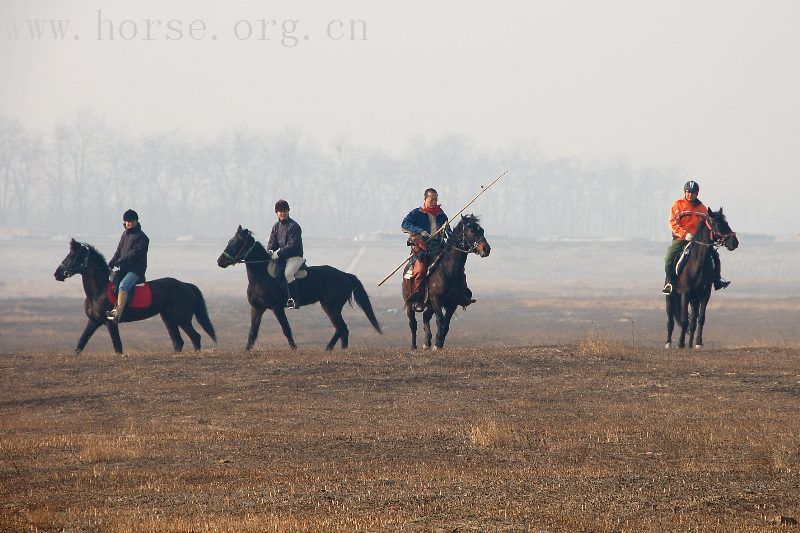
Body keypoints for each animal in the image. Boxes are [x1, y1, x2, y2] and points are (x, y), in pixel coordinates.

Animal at [53, 238, 217, 354]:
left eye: (73, 255)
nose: (57, 274)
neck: (98, 291)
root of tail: (186, 285)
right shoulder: (93, 321)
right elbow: (81, 343)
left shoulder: (110, 322)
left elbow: (117, 347)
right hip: (168, 319)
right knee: (178, 342)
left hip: (182, 318)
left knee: (195, 337)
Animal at [217, 227, 382, 352]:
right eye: (229, 241)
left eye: (236, 242)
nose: (220, 261)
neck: (262, 276)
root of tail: (345, 275)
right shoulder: (257, 308)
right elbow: (252, 331)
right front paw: (247, 350)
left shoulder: (277, 308)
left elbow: (286, 329)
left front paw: (294, 349)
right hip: (328, 306)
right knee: (342, 329)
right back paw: (338, 349)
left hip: (331, 307)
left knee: (342, 328)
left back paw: (332, 348)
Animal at [404, 214, 490, 352]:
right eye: (471, 230)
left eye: (481, 230)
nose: (486, 249)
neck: (448, 270)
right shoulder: (436, 300)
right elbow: (440, 320)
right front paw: (436, 345)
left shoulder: (452, 302)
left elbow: (446, 324)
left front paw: (439, 344)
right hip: (409, 303)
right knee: (413, 324)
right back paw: (414, 347)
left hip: (429, 305)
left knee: (426, 316)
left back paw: (427, 342)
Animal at [664, 208, 740, 350]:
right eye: (717, 224)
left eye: (726, 223)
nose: (734, 242)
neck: (698, 263)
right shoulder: (685, 294)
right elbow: (684, 319)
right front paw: (680, 343)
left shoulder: (705, 294)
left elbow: (700, 319)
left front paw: (698, 343)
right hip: (671, 297)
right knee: (670, 320)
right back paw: (668, 343)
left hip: (695, 299)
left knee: (693, 321)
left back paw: (690, 344)